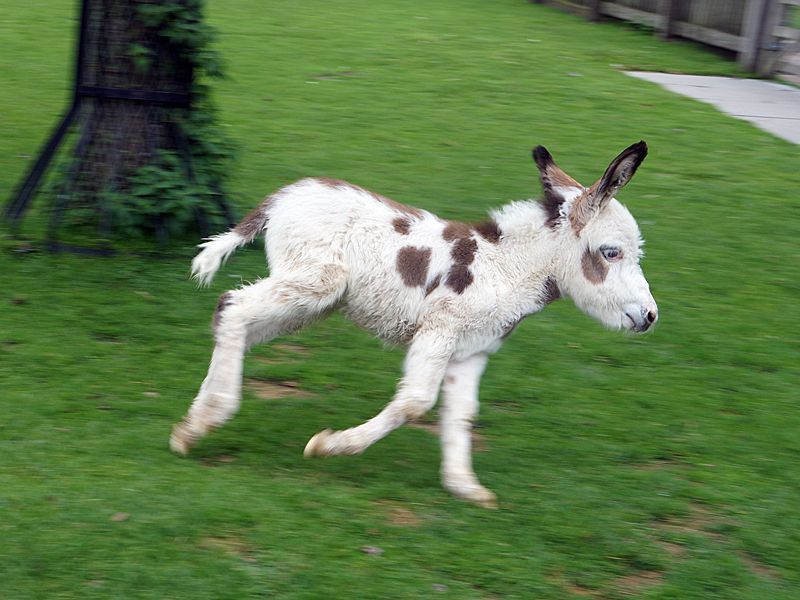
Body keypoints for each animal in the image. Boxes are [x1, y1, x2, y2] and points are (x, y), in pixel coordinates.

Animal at [172, 143, 660, 508]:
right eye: (612, 252)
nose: (651, 317)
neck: (505, 266)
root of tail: (285, 195)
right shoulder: (438, 331)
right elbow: (415, 402)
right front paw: (331, 446)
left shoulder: (471, 351)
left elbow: (461, 415)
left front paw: (464, 486)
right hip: (313, 283)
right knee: (233, 306)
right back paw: (209, 416)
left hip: (311, 302)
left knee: (234, 318)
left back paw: (195, 424)